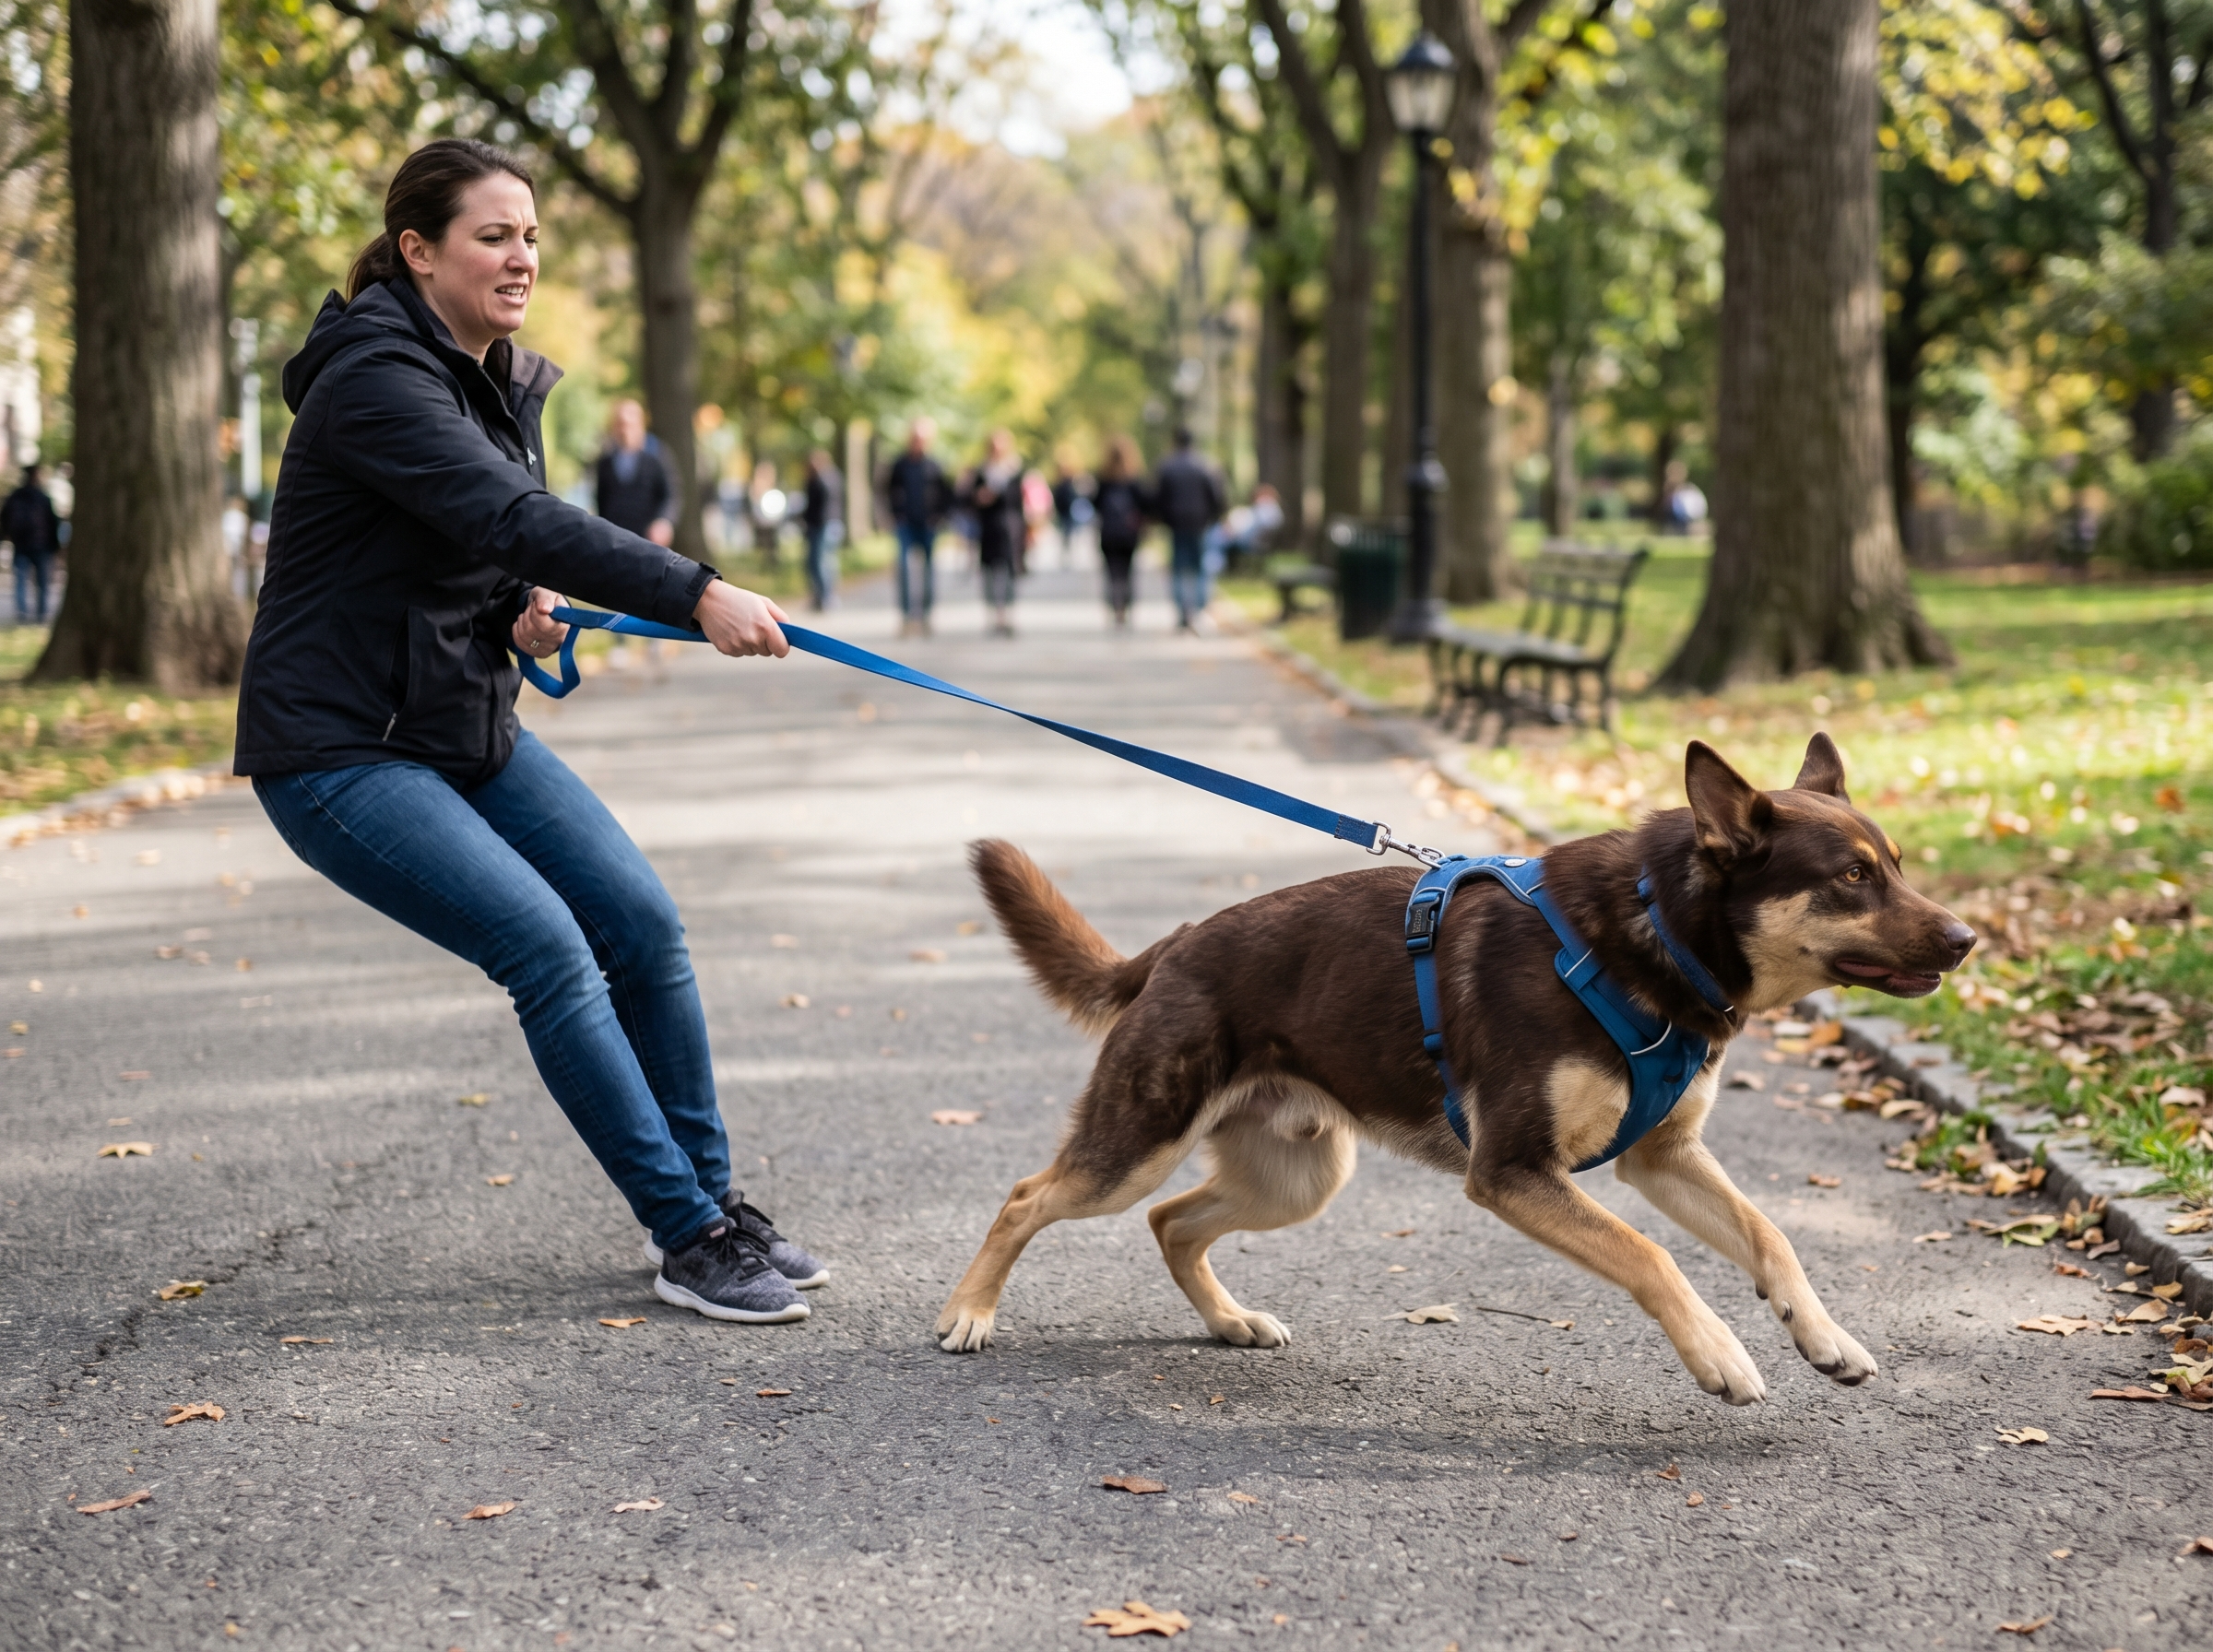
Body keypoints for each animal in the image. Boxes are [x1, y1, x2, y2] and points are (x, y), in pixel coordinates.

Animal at [934, 734, 1976, 1405]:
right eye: (1852, 877)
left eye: (1896, 863)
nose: (1969, 938)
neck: (1652, 933)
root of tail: (1178, 943)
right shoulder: (1515, 1171)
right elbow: (1652, 1256)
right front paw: (1720, 1355)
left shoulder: (1664, 1158)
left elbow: (1770, 1234)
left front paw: (1824, 1336)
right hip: (1139, 1144)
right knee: (1030, 1197)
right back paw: (967, 1314)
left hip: (1297, 1177)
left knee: (1172, 1222)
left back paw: (1229, 1321)